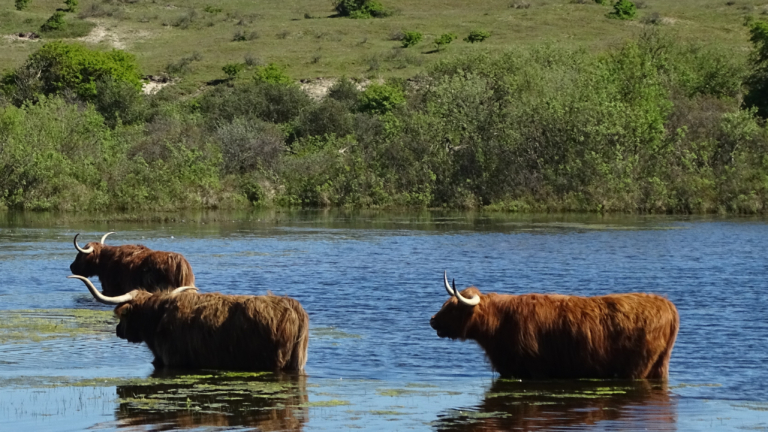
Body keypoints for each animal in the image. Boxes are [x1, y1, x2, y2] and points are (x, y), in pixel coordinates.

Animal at [428, 272, 680, 380]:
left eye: (453, 308)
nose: (432, 320)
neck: (500, 322)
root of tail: (667, 304)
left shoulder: (531, 369)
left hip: (638, 367)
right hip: (660, 365)